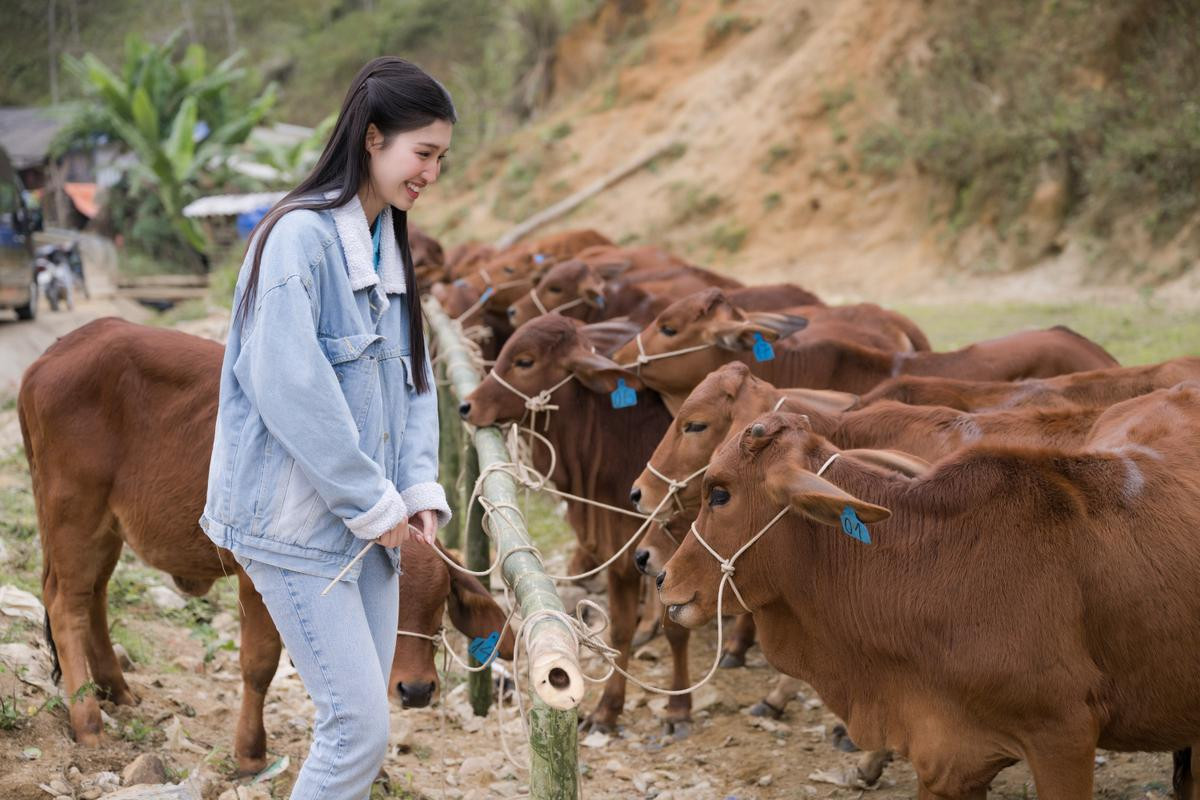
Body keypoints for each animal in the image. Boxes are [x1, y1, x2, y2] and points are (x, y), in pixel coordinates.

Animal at [17, 319, 511, 777]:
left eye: (439, 602)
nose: (417, 690)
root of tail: (55, 353)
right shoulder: (257, 582)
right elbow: (259, 666)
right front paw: (251, 752)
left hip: (106, 528)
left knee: (93, 596)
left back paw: (115, 690)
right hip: (74, 514)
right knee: (66, 603)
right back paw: (88, 721)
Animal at [456, 316, 696, 734]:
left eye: (524, 361)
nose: (467, 406)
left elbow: (677, 630)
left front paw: (679, 708)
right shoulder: (622, 552)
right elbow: (620, 630)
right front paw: (607, 709)